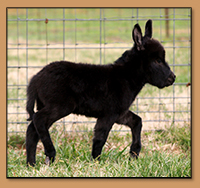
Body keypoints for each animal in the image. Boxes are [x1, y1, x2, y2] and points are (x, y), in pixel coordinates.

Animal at [26, 19, 175, 166]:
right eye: (158, 60)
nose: (173, 78)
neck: (126, 76)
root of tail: (36, 78)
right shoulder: (109, 114)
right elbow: (100, 139)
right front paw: (95, 162)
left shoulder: (120, 113)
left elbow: (137, 121)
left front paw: (133, 154)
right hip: (60, 106)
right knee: (38, 119)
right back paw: (50, 154)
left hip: (46, 105)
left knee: (32, 129)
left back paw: (31, 163)